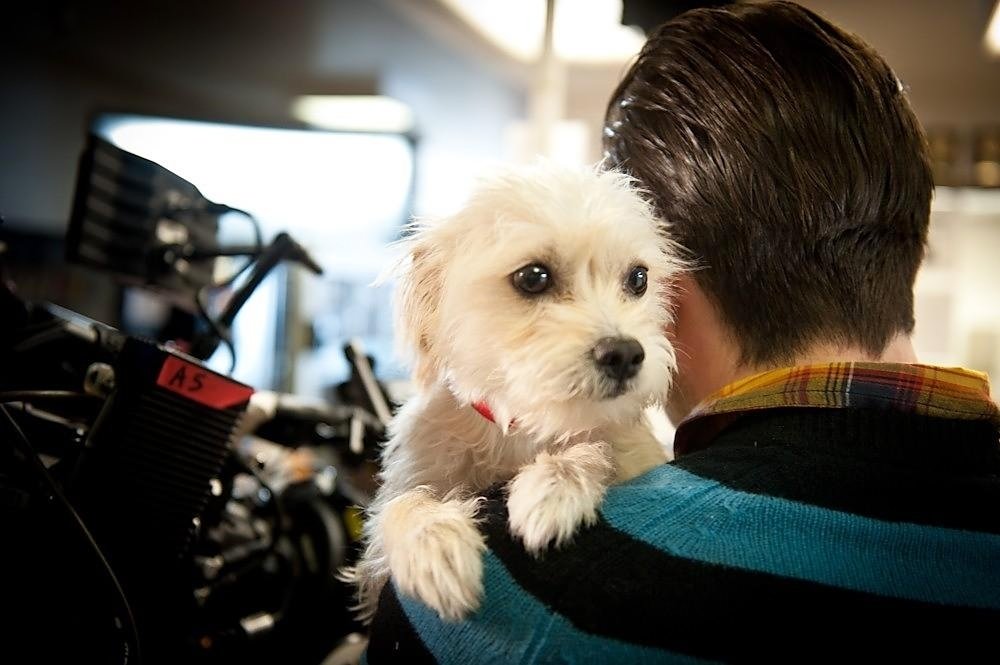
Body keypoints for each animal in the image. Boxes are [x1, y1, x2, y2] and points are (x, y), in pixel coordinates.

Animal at [350, 161, 680, 624]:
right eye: (533, 277)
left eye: (638, 278)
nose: (626, 354)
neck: (521, 428)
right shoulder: (383, 545)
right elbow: (402, 505)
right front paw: (433, 544)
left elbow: (598, 449)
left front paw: (554, 486)